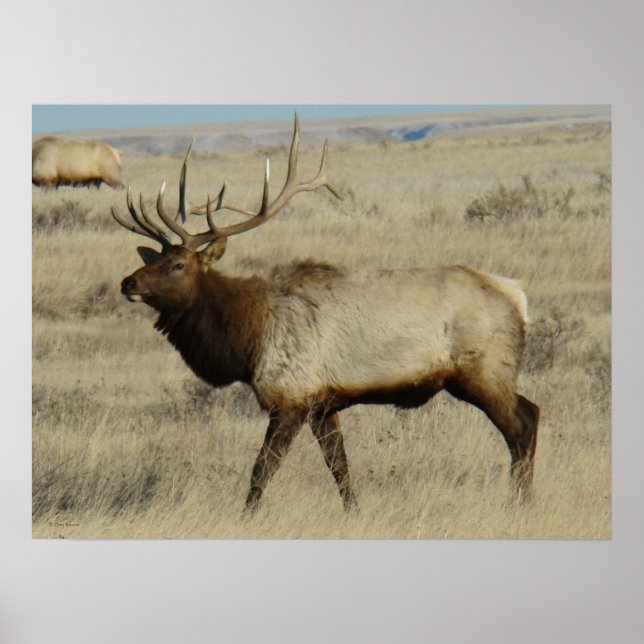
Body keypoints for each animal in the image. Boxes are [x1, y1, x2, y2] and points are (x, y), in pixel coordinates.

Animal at [112, 115, 539, 514]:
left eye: (178, 265)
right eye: (154, 259)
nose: (127, 282)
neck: (247, 338)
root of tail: (518, 296)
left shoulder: (291, 396)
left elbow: (261, 469)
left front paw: (246, 517)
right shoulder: (323, 403)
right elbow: (339, 467)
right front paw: (353, 512)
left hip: (483, 370)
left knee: (522, 424)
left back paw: (518, 504)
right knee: (530, 414)